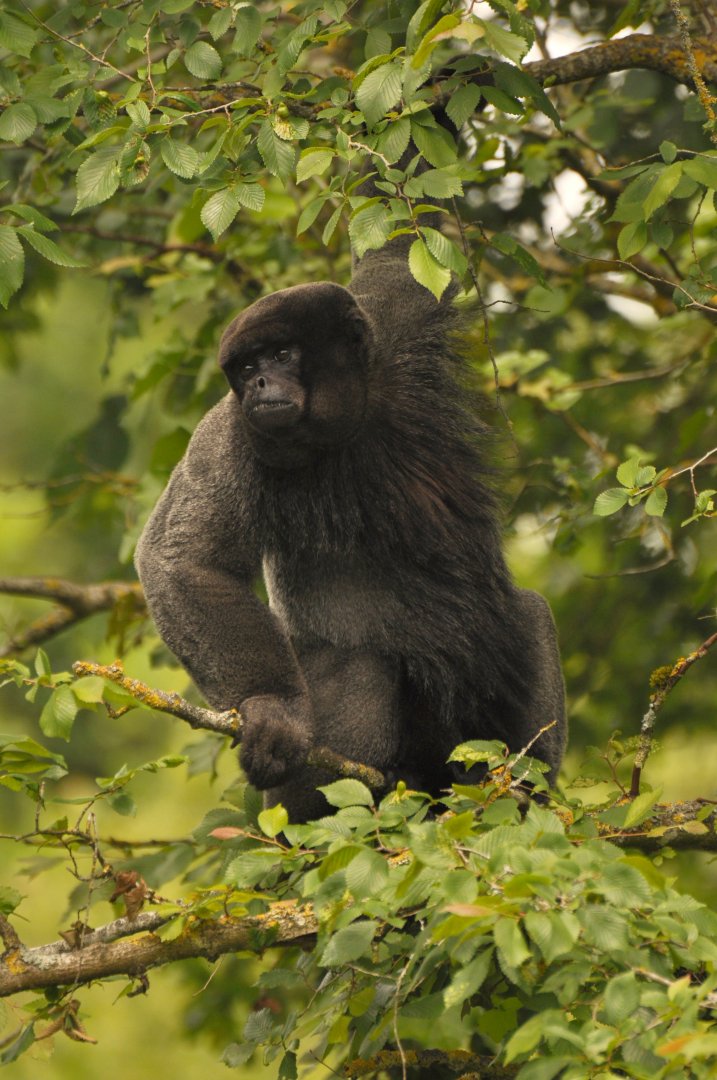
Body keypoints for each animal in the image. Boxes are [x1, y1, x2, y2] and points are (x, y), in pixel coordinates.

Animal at [134, 227, 566, 823]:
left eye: (283, 353)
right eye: (245, 368)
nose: (259, 382)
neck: (344, 425)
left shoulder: (393, 329)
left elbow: (395, 257)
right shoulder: (228, 435)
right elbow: (183, 560)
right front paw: (273, 706)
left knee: (527, 611)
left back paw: (520, 787)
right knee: (362, 660)